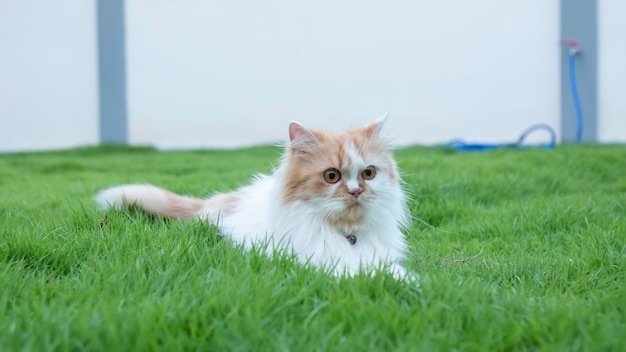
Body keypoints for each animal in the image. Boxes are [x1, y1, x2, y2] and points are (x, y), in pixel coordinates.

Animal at [95, 117, 412, 280]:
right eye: (332, 176)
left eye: (368, 173)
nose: (356, 191)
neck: (347, 233)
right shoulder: (315, 258)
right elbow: (356, 271)